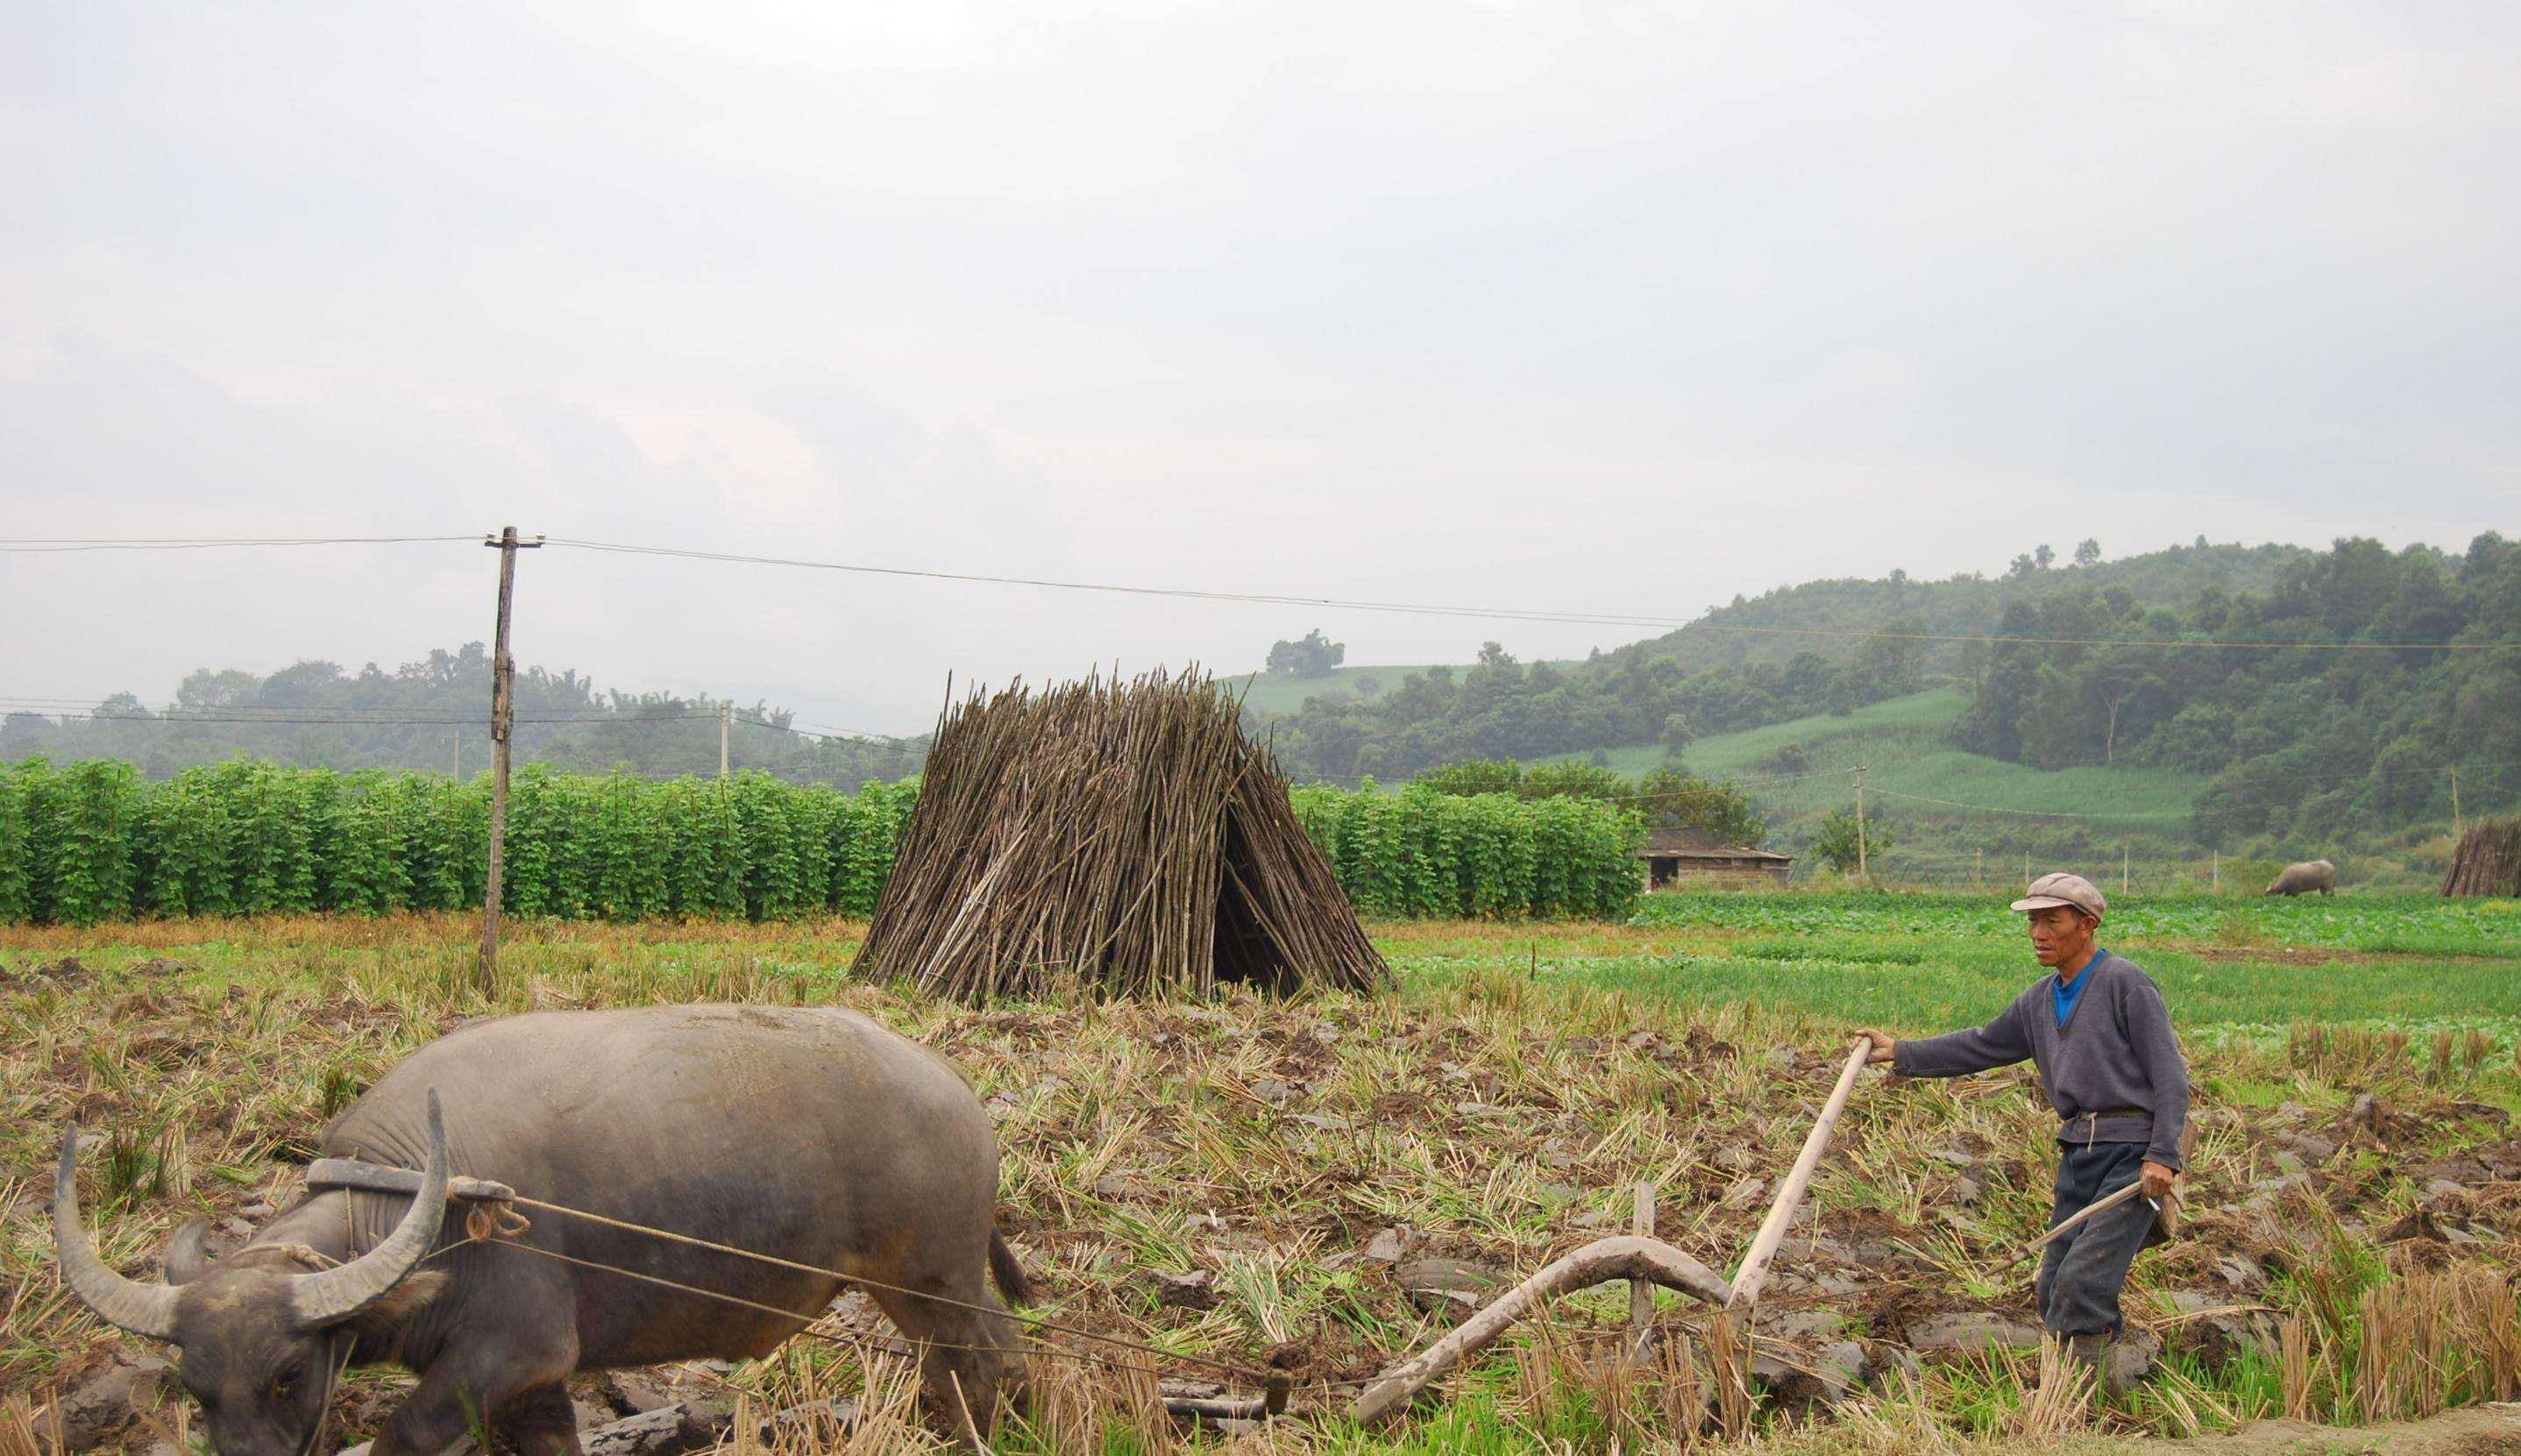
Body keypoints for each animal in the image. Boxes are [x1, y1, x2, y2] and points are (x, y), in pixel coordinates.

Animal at [56, 1002, 1023, 1451]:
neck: (419, 1208)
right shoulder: (539, 1383)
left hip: (928, 1278)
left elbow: (399, 1438)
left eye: (290, 1373)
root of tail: (953, 1086)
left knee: (977, 1359)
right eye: (195, 1389)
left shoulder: (506, 1353)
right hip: (938, 1283)